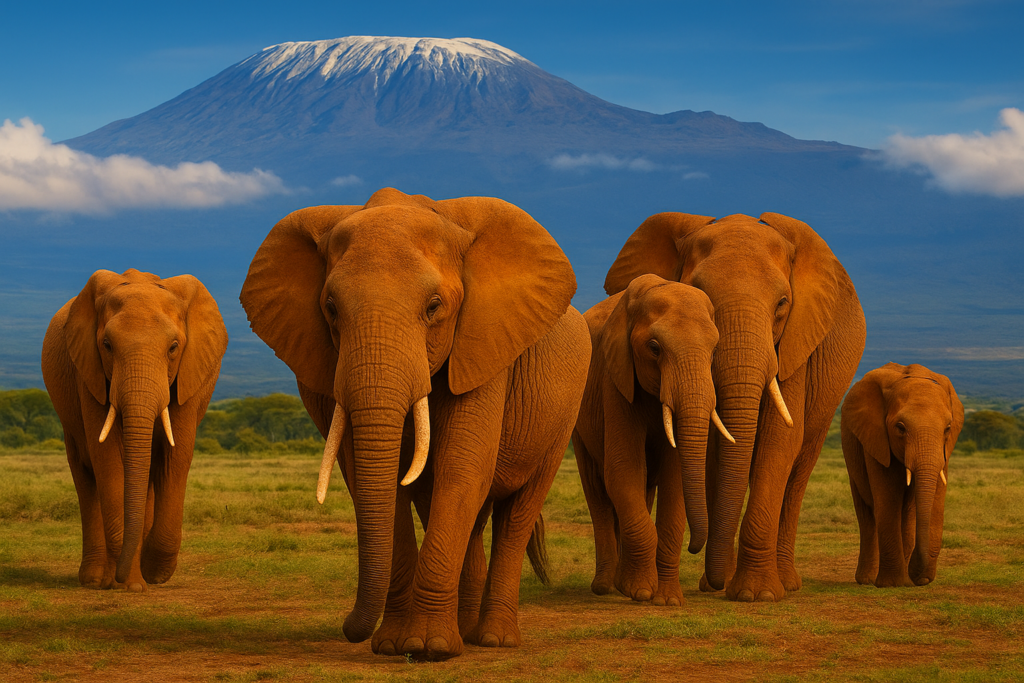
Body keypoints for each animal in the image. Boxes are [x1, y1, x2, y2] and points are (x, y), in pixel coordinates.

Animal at [40, 268, 228, 591]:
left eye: (173, 347)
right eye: (106, 345)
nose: (125, 577)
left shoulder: (189, 377)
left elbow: (175, 458)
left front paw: (152, 573)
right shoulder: (88, 373)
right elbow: (108, 459)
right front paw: (130, 585)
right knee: (85, 475)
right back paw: (96, 579)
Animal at [239, 187, 591, 660]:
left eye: (434, 307)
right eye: (330, 308)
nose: (348, 628)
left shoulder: (483, 345)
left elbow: (463, 468)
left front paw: (429, 648)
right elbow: (376, 480)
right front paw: (393, 645)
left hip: (565, 413)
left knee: (518, 512)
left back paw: (493, 639)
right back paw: (465, 630)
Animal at [572, 274, 734, 606]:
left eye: (715, 350)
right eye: (655, 348)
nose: (695, 547)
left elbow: (674, 480)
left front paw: (667, 600)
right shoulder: (615, 379)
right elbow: (623, 470)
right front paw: (640, 591)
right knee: (596, 489)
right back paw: (605, 586)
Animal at [605, 211, 866, 602]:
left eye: (782, 304)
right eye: (702, 296)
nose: (697, 550)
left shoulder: (795, 344)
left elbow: (779, 442)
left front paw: (757, 595)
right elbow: (715, 451)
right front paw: (729, 587)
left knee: (799, 468)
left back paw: (784, 582)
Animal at [841, 362, 964, 587]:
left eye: (948, 428)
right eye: (900, 428)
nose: (919, 577)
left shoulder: (945, 450)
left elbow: (936, 496)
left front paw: (916, 578)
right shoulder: (876, 437)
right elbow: (887, 496)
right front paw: (893, 583)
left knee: (906, 512)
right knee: (866, 512)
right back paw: (867, 579)